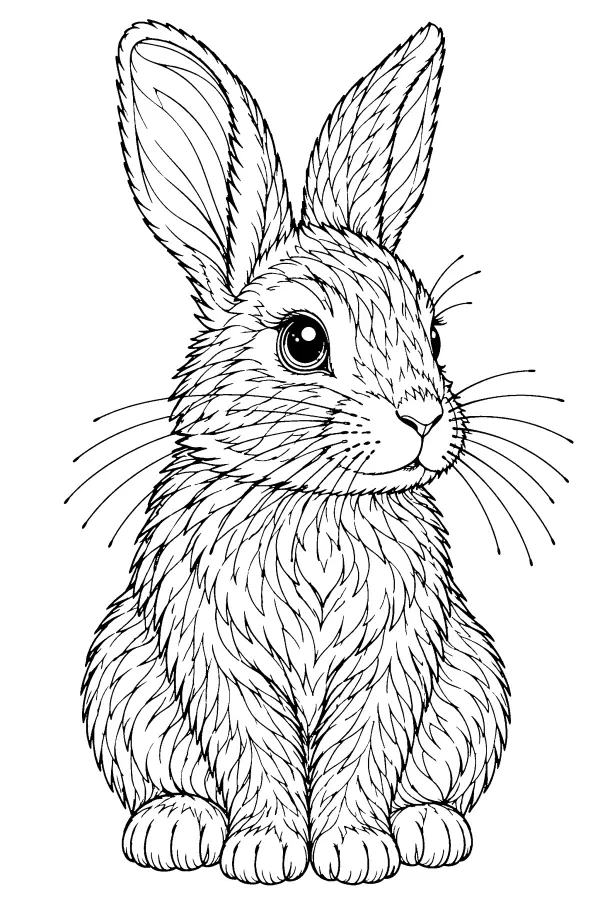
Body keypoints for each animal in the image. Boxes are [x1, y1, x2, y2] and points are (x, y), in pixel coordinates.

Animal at [82, 20, 510, 884]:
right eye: (303, 341)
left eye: (433, 336)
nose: (424, 419)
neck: (313, 500)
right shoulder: (213, 652)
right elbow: (253, 749)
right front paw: (268, 851)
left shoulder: (397, 656)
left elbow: (365, 752)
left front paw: (354, 850)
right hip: (121, 689)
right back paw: (174, 829)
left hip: (472, 690)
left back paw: (430, 829)